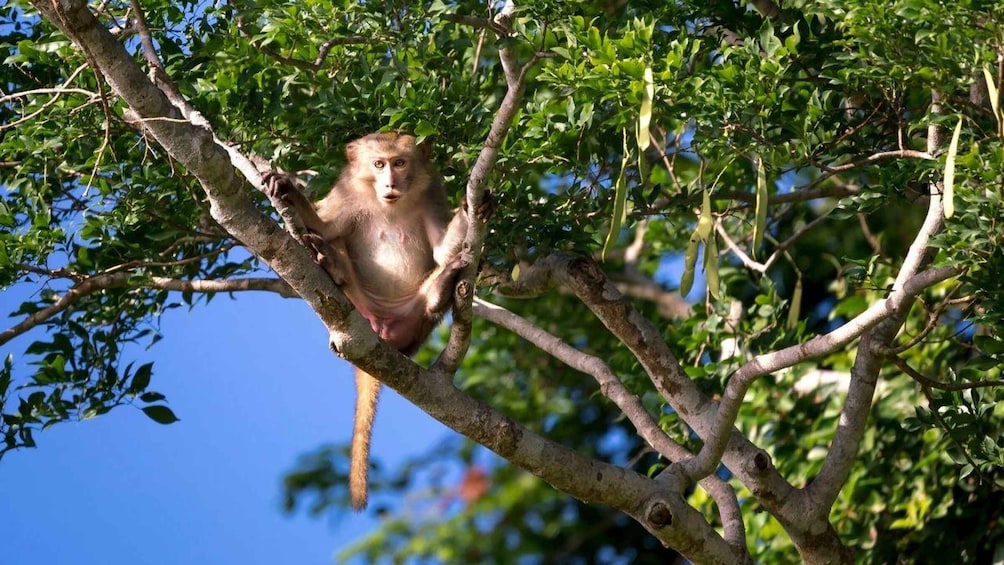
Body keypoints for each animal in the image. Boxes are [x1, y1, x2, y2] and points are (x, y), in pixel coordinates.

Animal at [265, 132, 476, 511]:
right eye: (379, 164)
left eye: (400, 163)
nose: (390, 182)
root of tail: (380, 332)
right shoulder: (348, 191)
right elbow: (326, 225)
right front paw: (286, 188)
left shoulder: (431, 189)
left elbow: (440, 249)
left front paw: (469, 205)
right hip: (354, 304)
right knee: (331, 243)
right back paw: (331, 263)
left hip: (412, 323)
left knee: (435, 287)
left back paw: (439, 292)